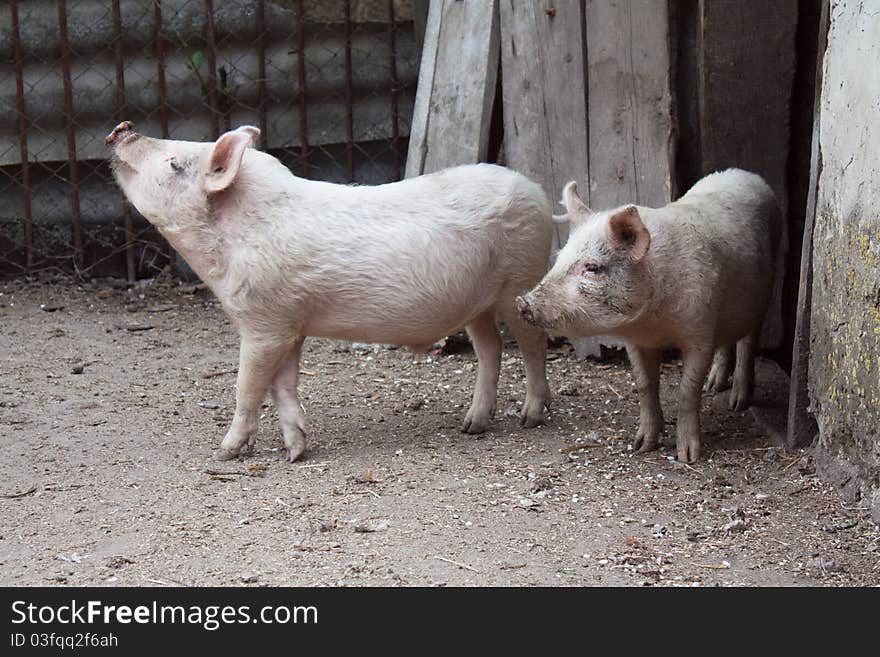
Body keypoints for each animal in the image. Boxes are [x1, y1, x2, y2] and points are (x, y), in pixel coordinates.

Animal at [106, 121, 552, 462]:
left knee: (532, 345)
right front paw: (295, 452)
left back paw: (530, 417)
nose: (122, 127)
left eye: (175, 162)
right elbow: (282, 386)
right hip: (478, 302)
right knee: (491, 348)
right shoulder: (289, 325)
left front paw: (223, 453)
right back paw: (471, 426)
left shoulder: (264, 324)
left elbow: (248, 387)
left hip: (520, 281)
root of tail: (535, 189)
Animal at [516, 172, 784, 464]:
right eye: (559, 259)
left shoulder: (700, 332)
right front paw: (640, 446)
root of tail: (745, 173)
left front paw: (688, 456)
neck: (654, 322)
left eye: (592, 267)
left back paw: (737, 403)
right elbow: (645, 386)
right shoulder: (636, 342)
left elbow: (687, 390)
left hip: (763, 295)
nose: (522, 302)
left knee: (749, 342)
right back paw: (714, 387)